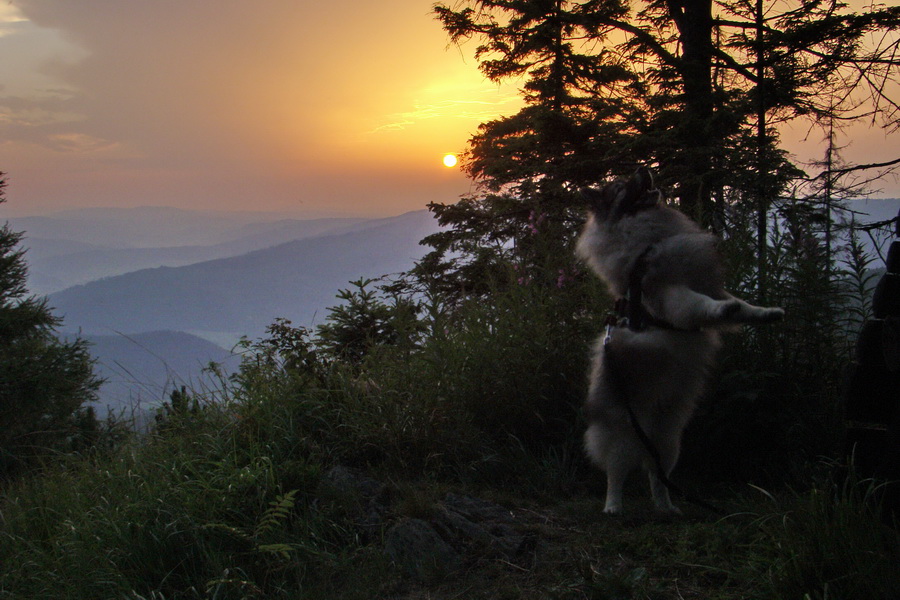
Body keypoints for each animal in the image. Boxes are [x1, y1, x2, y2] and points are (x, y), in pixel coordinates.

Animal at [576, 166, 780, 512]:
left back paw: (667, 507)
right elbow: (701, 304)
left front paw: (764, 313)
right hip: (621, 435)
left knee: (658, 477)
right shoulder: (669, 295)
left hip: (669, 443)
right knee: (616, 473)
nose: (645, 169)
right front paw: (723, 309)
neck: (652, 236)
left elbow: (741, 307)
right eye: (620, 186)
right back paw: (613, 507)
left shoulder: (706, 284)